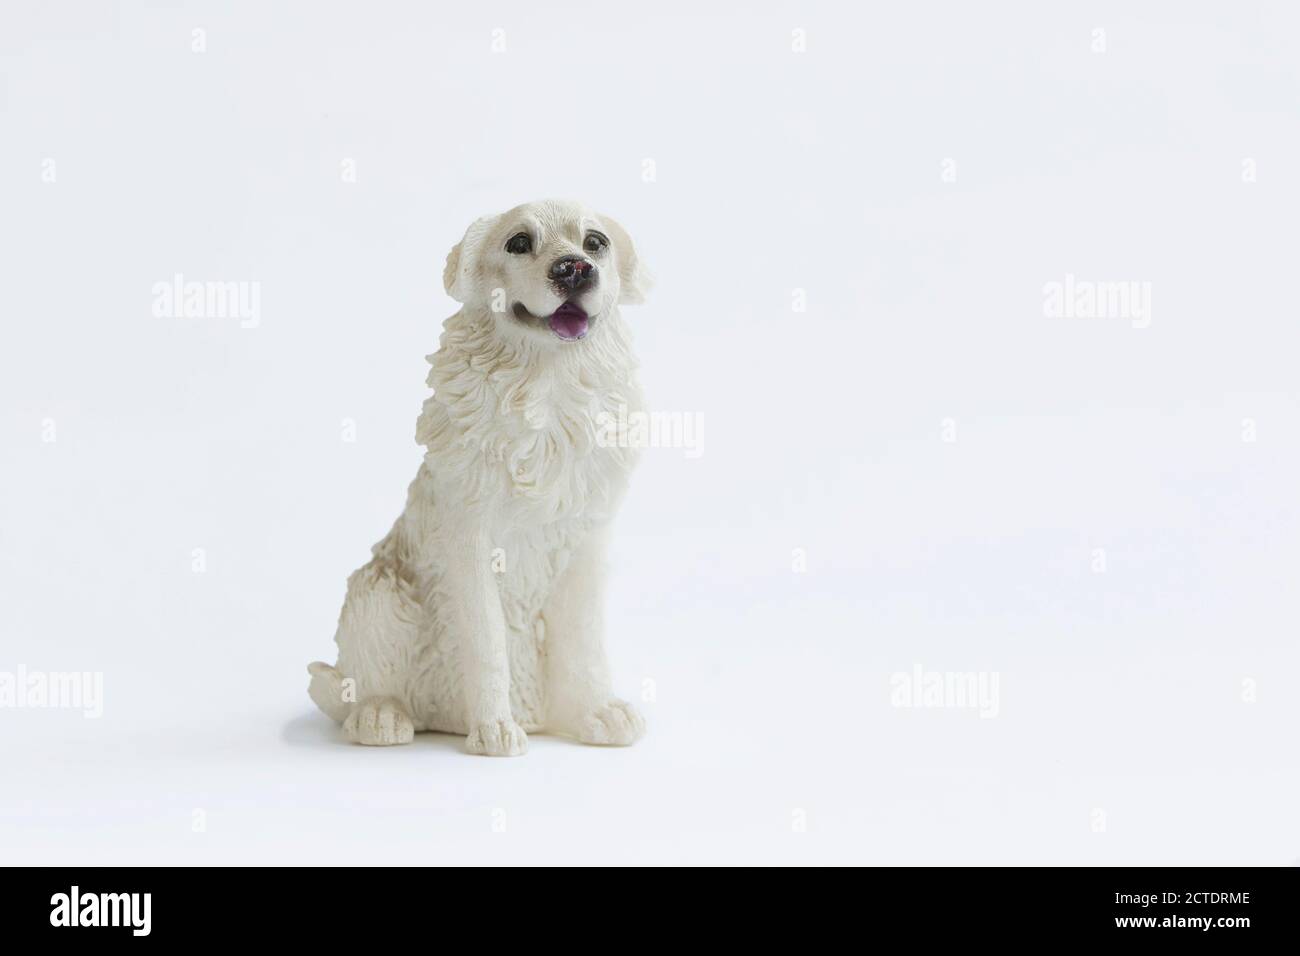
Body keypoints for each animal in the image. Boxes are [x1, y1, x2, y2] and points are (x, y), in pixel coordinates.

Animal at [305, 200, 650, 754]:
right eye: (518, 243)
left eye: (595, 242)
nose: (574, 268)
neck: (546, 389)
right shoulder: (469, 538)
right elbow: (487, 642)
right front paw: (493, 729)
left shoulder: (587, 539)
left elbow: (583, 638)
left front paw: (596, 712)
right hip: (378, 591)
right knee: (361, 685)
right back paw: (381, 716)